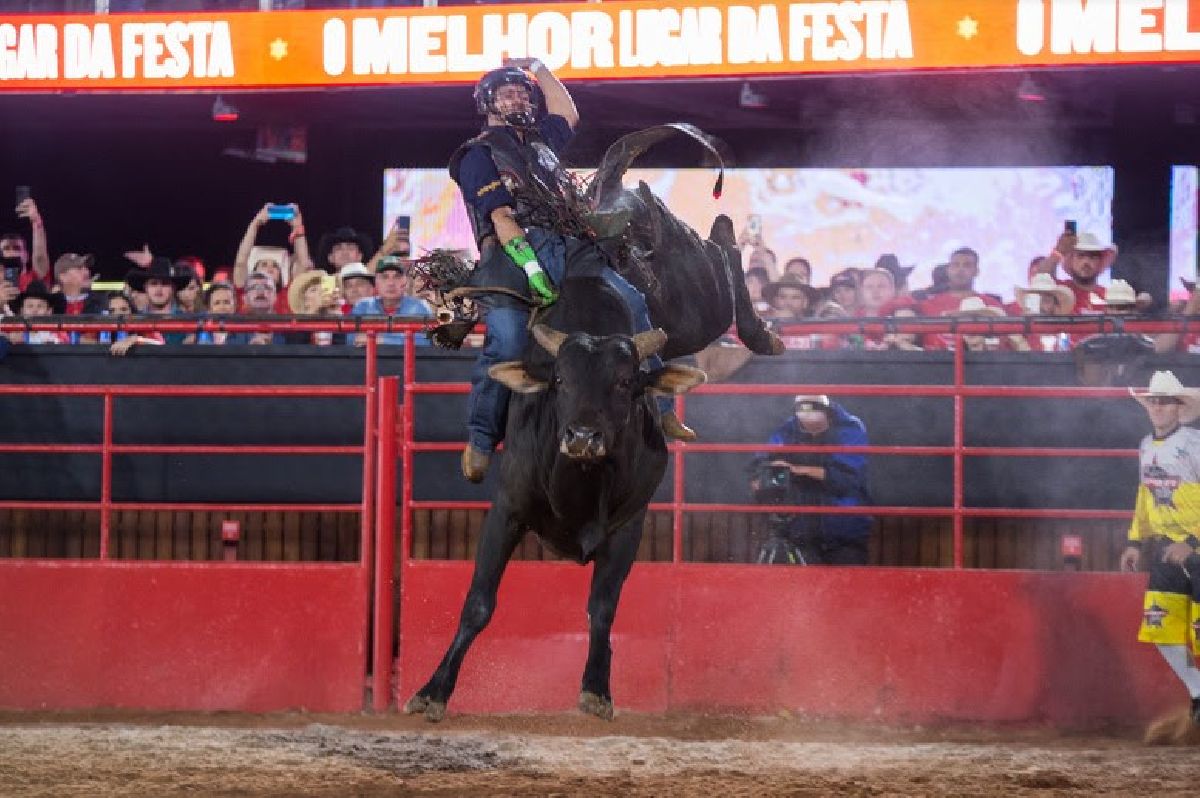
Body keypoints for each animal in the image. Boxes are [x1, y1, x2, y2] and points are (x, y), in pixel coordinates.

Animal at [405, 276, 700, 720]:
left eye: (625, 382)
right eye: (560, 380)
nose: (582, 437)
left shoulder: (629, 527)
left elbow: (603, 607)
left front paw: (597, 688)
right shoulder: (506, 511)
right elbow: (478, 604)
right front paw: (433, 692)